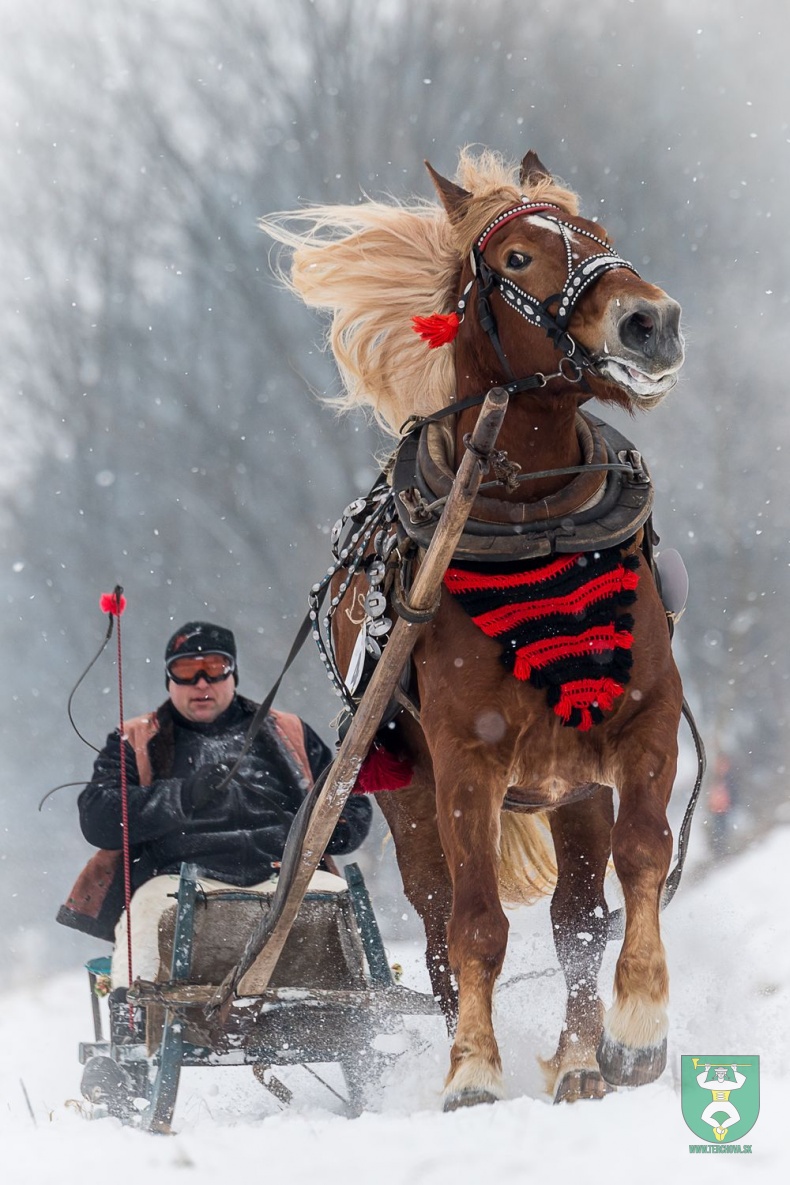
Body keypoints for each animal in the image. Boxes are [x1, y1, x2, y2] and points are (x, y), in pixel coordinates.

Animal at [260, 150, 686, 1109]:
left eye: (599, 233)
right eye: (519, 258)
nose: (650, 321)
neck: (536, 522)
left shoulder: (644, 722)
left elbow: (643, 855)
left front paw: (635, 1030)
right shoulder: (466, 762)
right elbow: (477, 925)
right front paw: (473, 1071)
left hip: (571, 785)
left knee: (576, 917)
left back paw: (579, 1056)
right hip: (408, 792)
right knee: (438, 927)